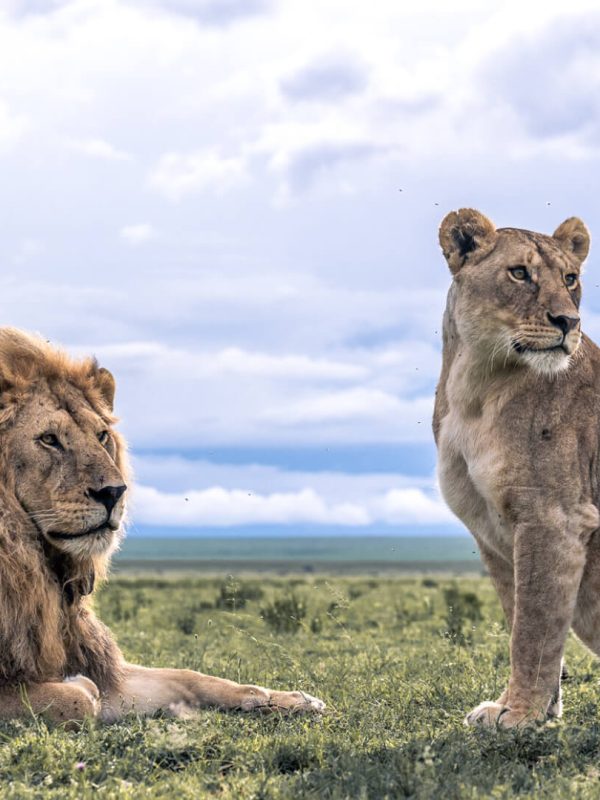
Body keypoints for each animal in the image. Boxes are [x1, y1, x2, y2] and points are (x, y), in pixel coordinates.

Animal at [0, 328, 324, 725]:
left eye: (101, 436)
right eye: (49, 439)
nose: (113, 492)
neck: (33, 560)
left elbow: (191, 677)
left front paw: (290, 698)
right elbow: (76, 700)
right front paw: (75, 685)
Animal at [434, 208, 600, 728]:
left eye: (570, 279)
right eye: (520, 273)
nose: (569, 321)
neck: (477, 386)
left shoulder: (554, 517)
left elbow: (534, 626)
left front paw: (522, 714)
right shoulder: (491, 528)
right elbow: (518, 618)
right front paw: (533, 710)